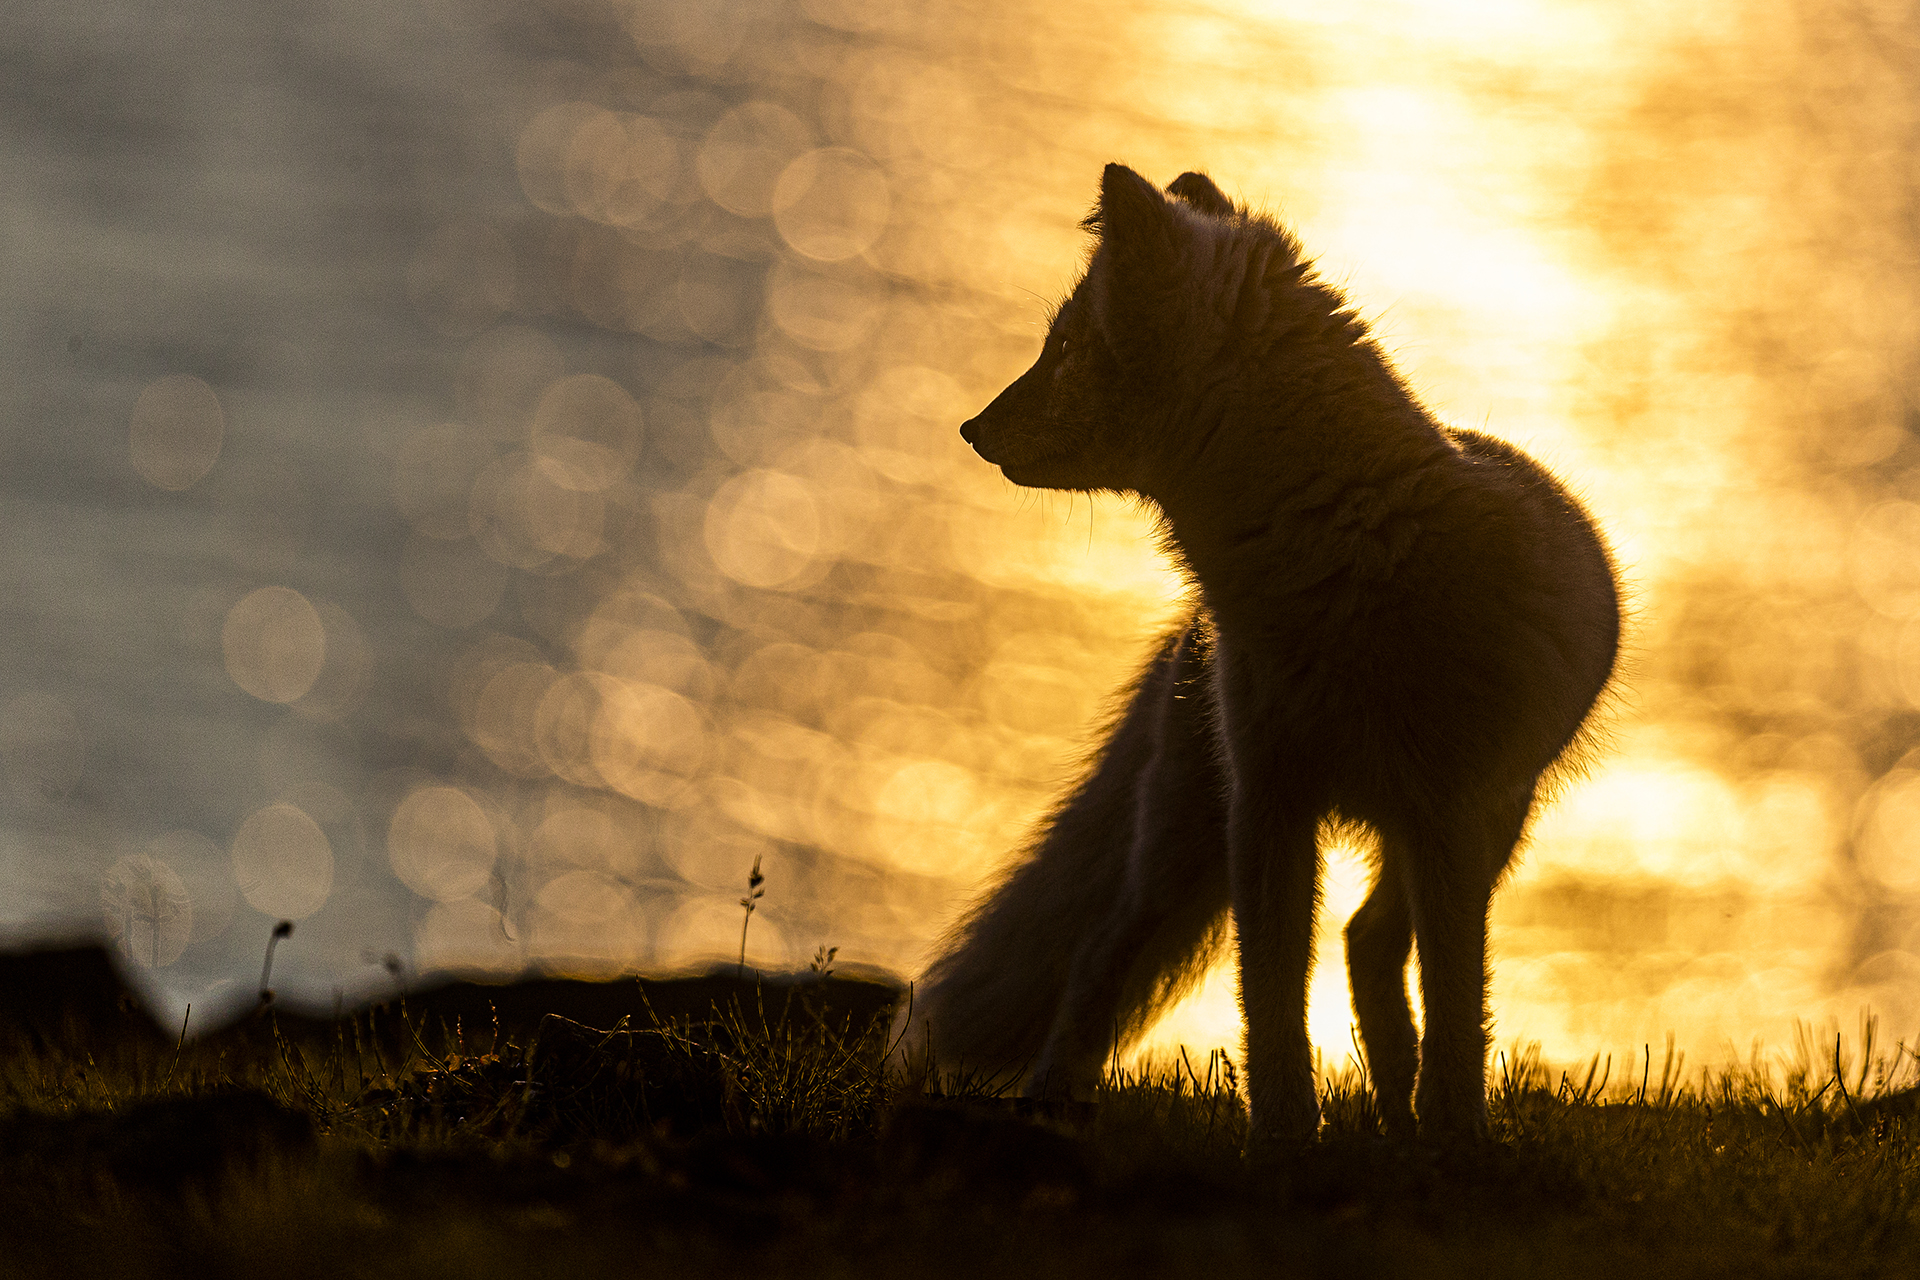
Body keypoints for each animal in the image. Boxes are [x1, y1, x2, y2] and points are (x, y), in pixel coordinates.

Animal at [906, 164, 1620, 1151]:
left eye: (1063, 348)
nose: (972, 428)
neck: (1343, 556)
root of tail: (1191, 627)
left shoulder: (1445, 815)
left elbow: (1456, 1008)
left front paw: (1455, 1140)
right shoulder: (1270, 803)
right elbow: (1271, 1005)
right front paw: (1282, 1145)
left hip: (1485, 830)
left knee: (1367, 945)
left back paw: (1401, 1113)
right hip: (1188, 844)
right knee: (1102, 956)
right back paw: (1054, 1105)